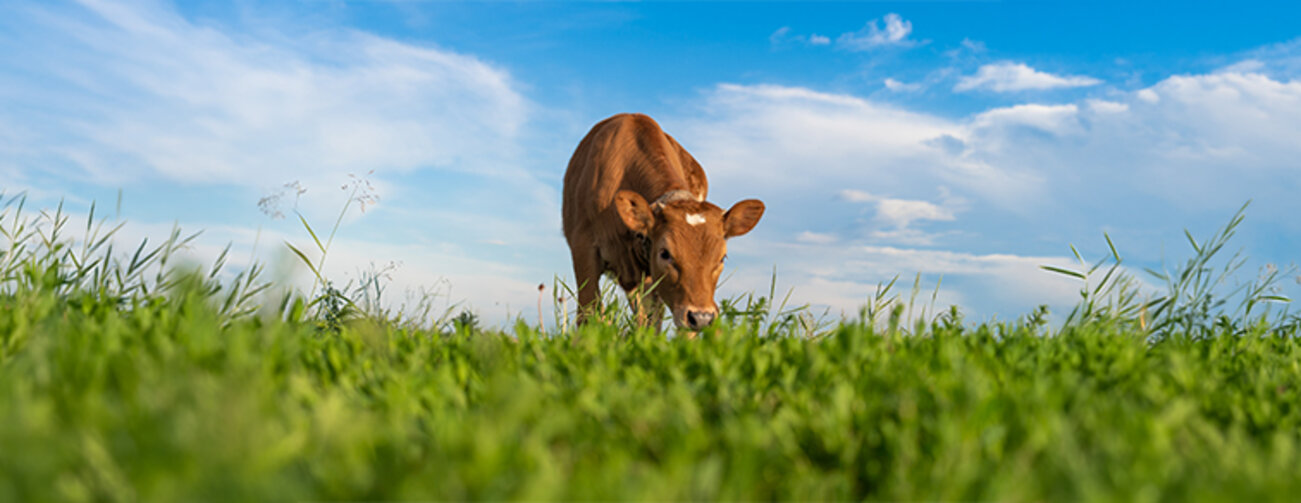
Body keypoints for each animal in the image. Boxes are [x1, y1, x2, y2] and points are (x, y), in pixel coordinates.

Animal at [562, 113, 765, 332]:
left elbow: (652, 325)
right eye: (665, 253)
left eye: (722, 258)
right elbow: (588, 314)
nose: (701, 317)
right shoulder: (583, 249)